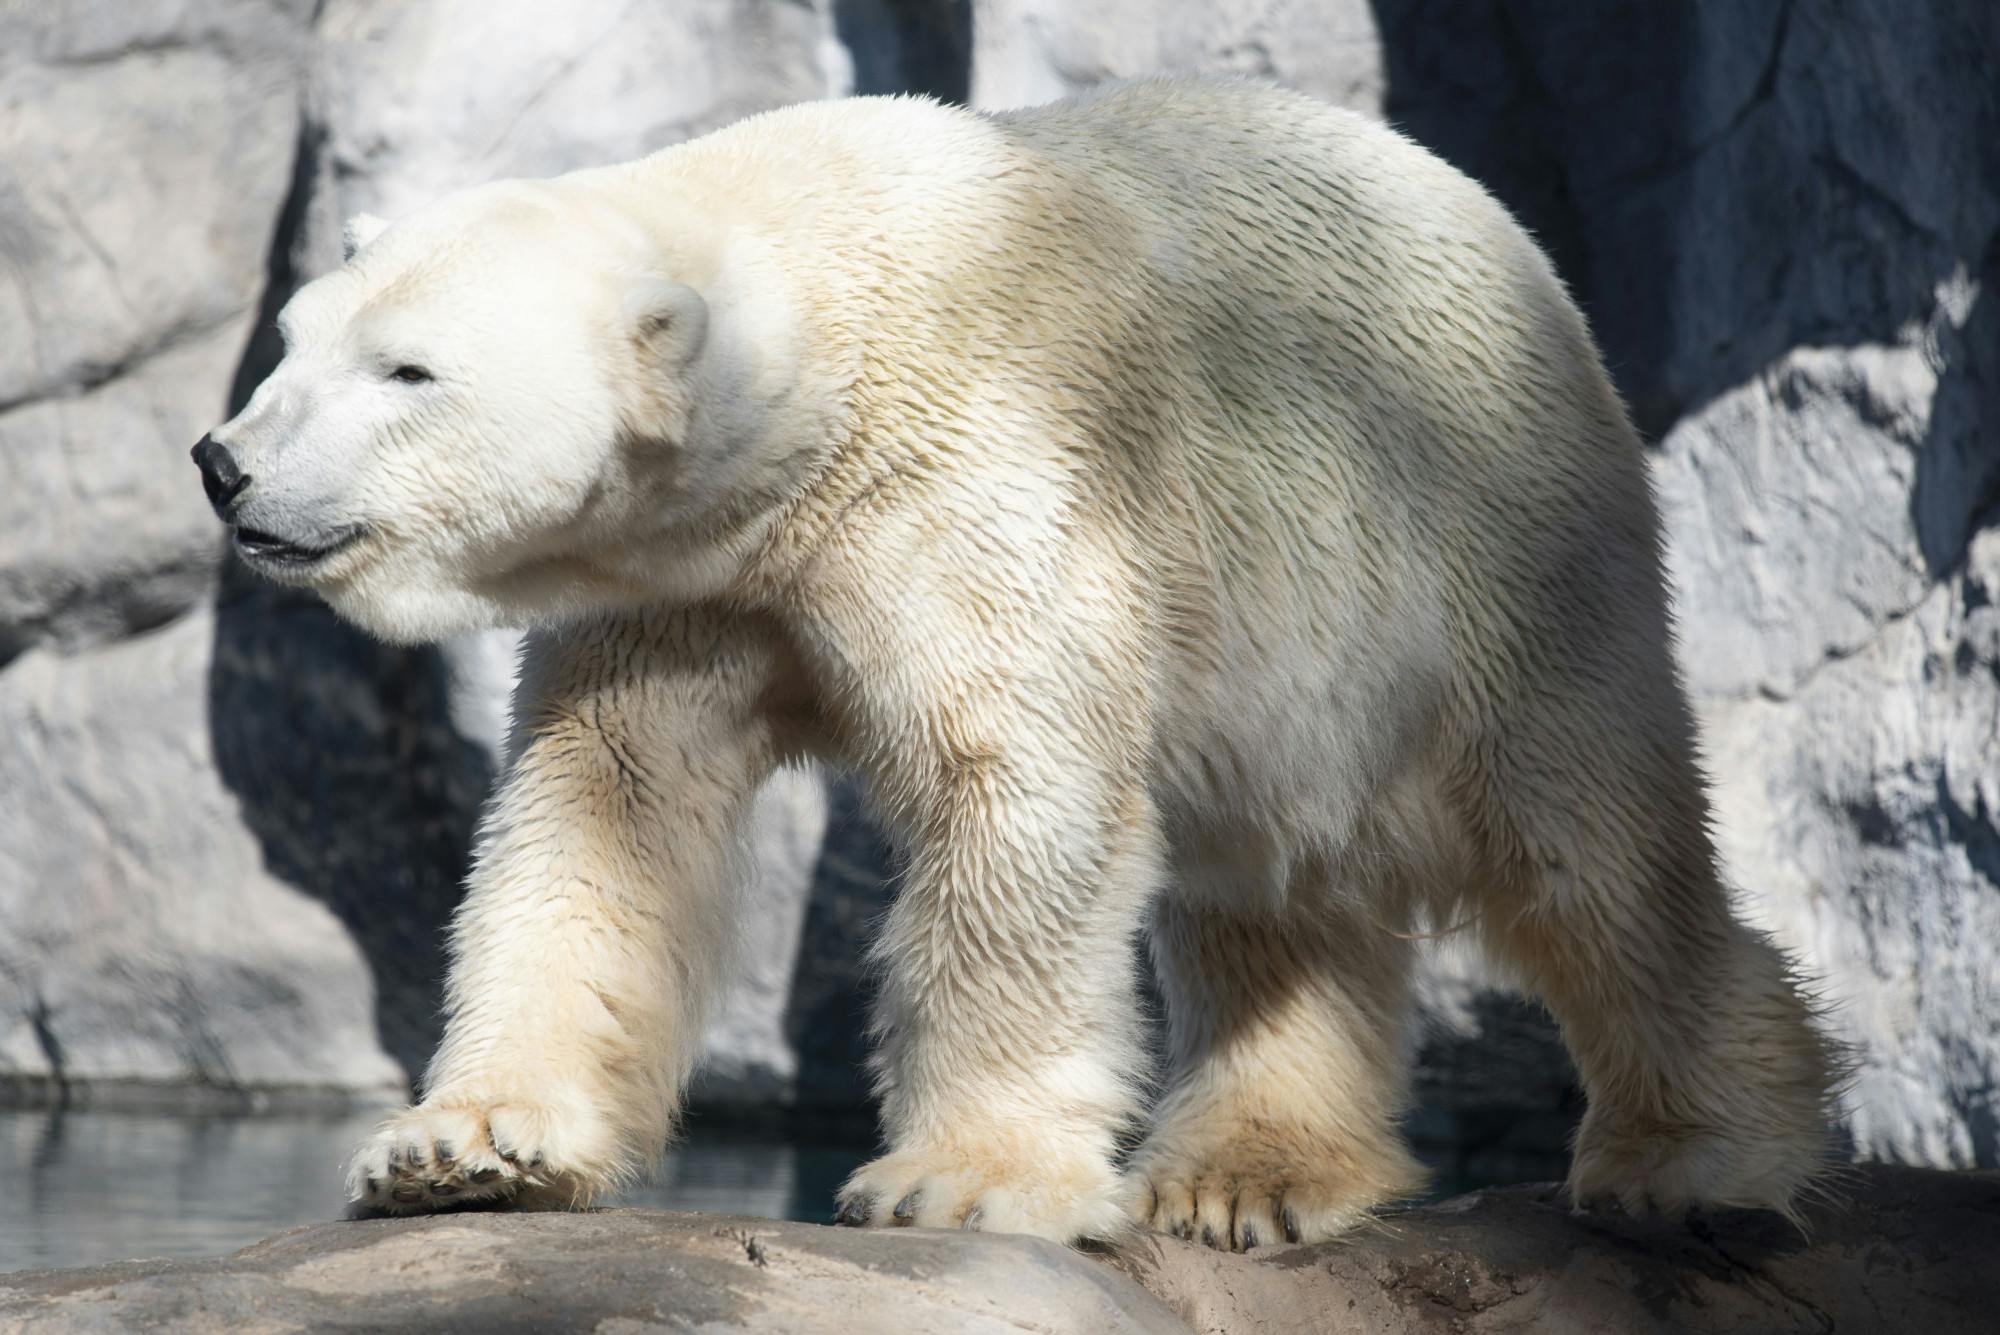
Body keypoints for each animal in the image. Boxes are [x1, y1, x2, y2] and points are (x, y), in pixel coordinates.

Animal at [195, 77, 1838, 1249]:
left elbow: (1011, 787)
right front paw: (463, 1147)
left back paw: (1696, 1154)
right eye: (295, 338)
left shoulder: (975, 487)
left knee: (1580, 842)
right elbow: (602, 814)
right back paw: (1247, 1174)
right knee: (1270, 886)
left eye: (408, 369)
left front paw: (958, 1181)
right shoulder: (687, 579)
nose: (222, 463)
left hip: (1478, 541)